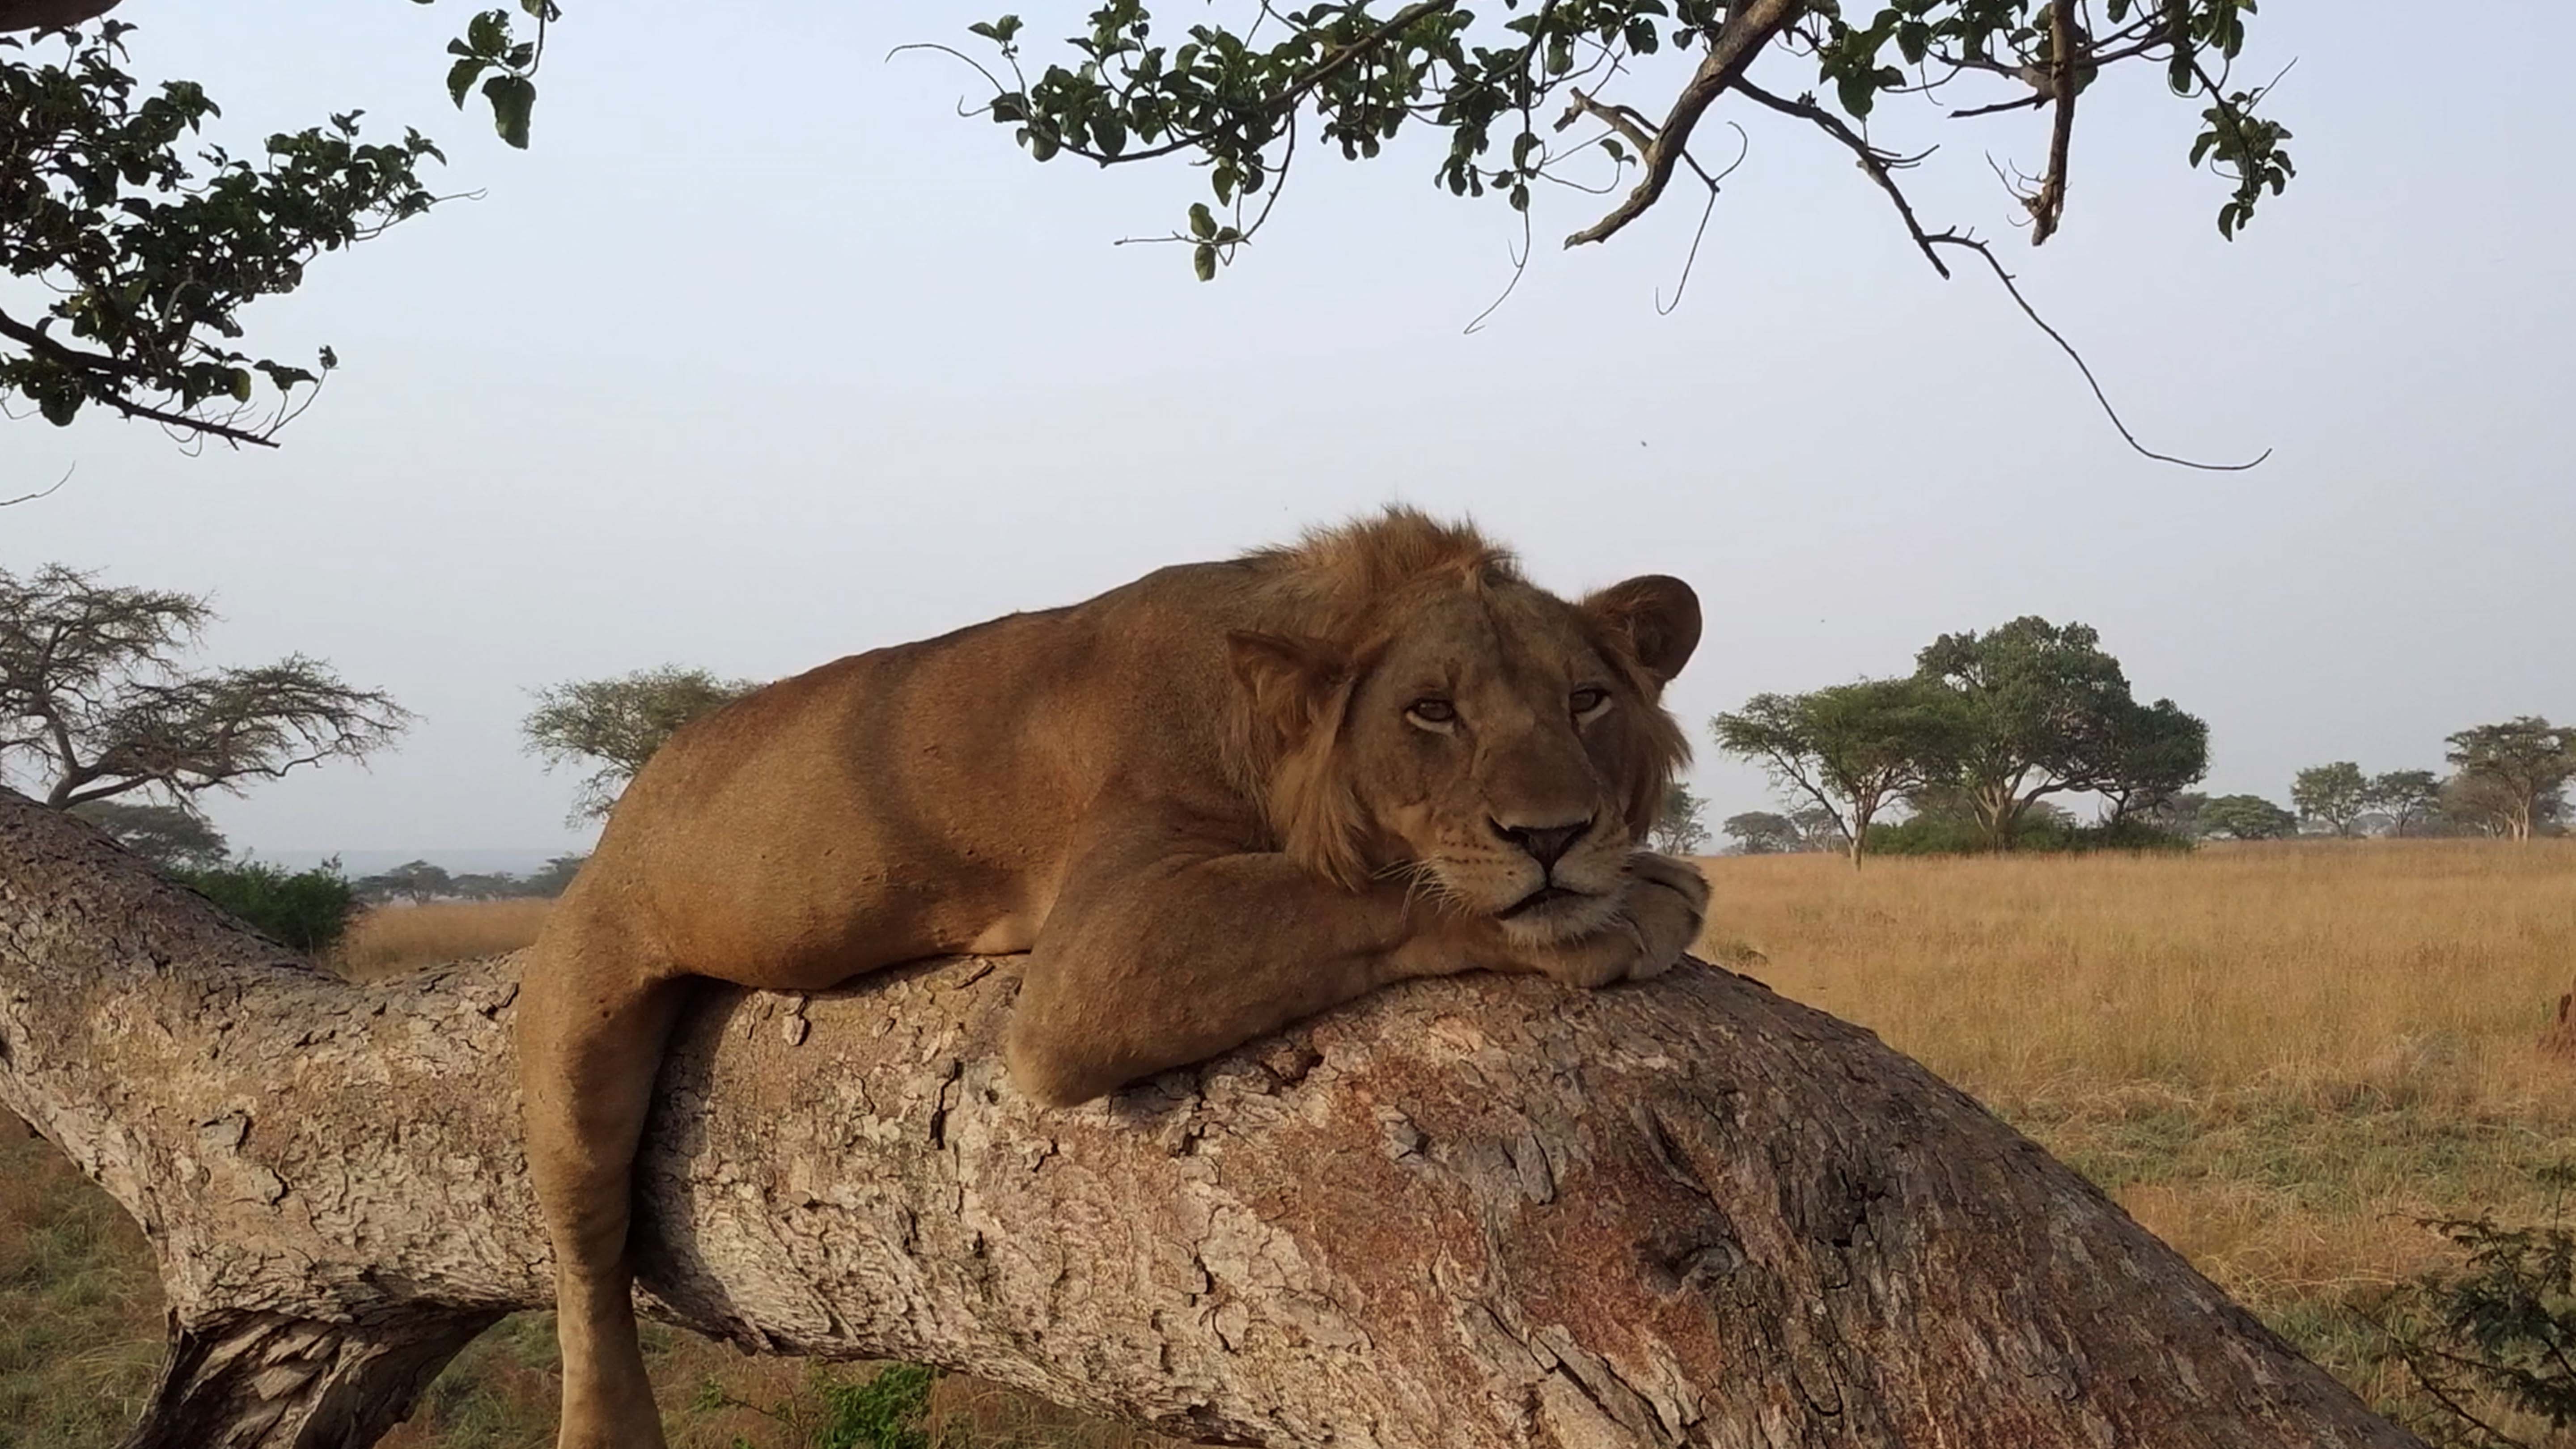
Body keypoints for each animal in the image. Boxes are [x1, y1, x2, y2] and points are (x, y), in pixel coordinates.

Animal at [517, 508, 1710, 1444]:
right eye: (1431, 710)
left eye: (1587, 699)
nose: (1554, 835)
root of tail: (643, 779)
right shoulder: (1095, 955)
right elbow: (1368, 891)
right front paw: (1634, 901)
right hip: (582, 1002)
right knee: (583, 1250)